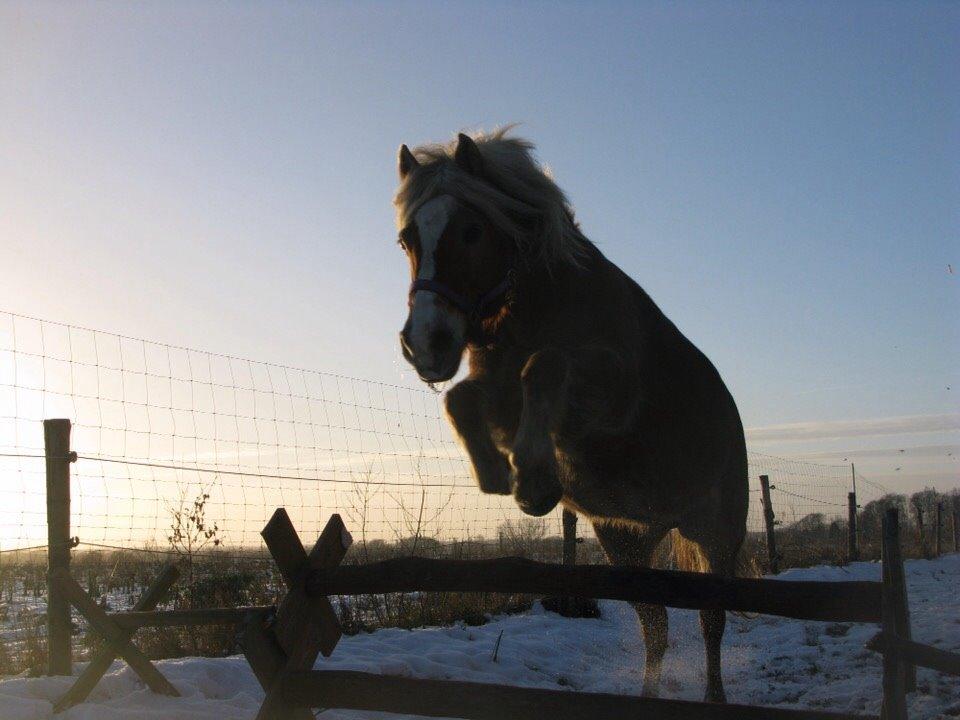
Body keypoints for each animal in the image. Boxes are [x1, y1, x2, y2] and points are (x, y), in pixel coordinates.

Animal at [392, 129, 752, 704]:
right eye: (407, 240)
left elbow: (546, 365)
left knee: (710, 625)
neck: (538, 304)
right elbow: (461, 399)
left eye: (471, 231)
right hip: (626, 544)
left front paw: (537, 482)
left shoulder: (610, 391)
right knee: (656, 627)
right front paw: (504, 477)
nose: (426, 344)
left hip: (716, 538)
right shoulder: (498, 398)